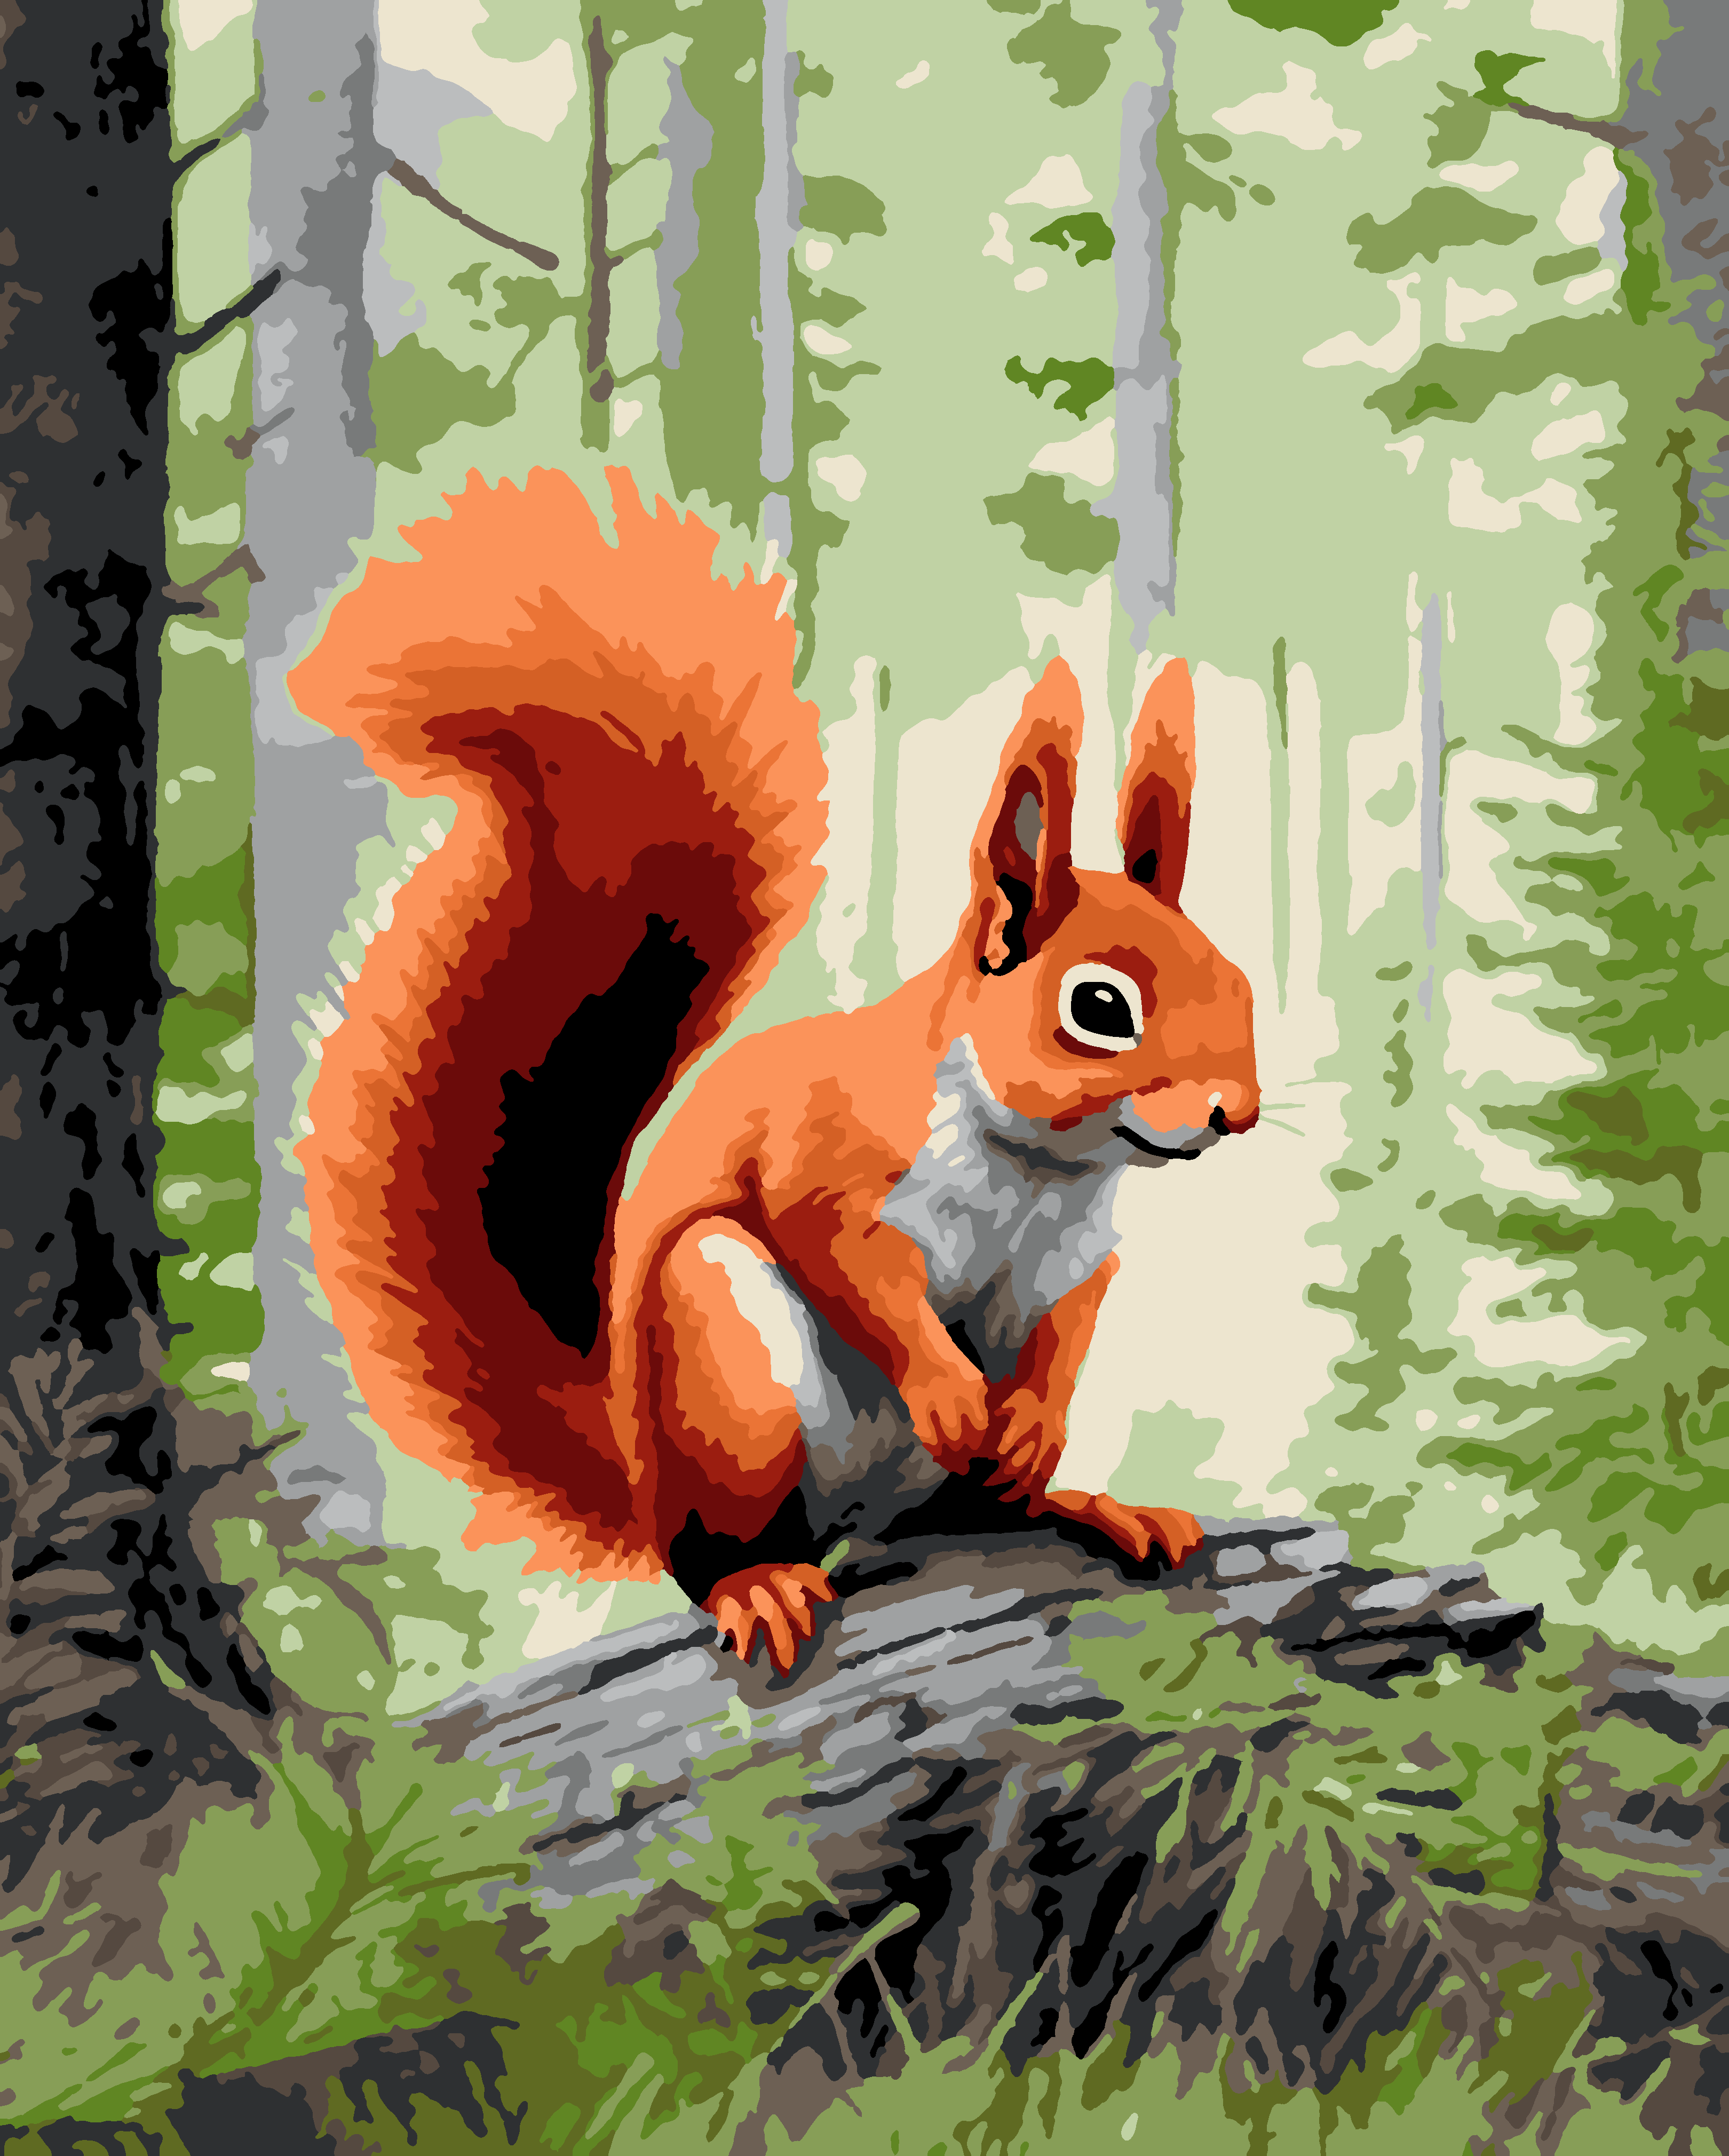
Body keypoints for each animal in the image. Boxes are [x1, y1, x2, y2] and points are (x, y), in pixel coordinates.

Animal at [287, 466, 1260, 1675]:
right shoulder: (831, 1156)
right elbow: (846, 1259)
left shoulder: (1080, 1255)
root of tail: (640, 1481)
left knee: (964, 1512)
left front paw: (1034, 1427)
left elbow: (1071, 1325)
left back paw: (1078, 1501)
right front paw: (948, 1390)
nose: (1237, 1111)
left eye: (1238, 977)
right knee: (712, 1551)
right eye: (1099, 1008)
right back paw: (757, 1582)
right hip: (727, 1372)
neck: (1038, 1168)